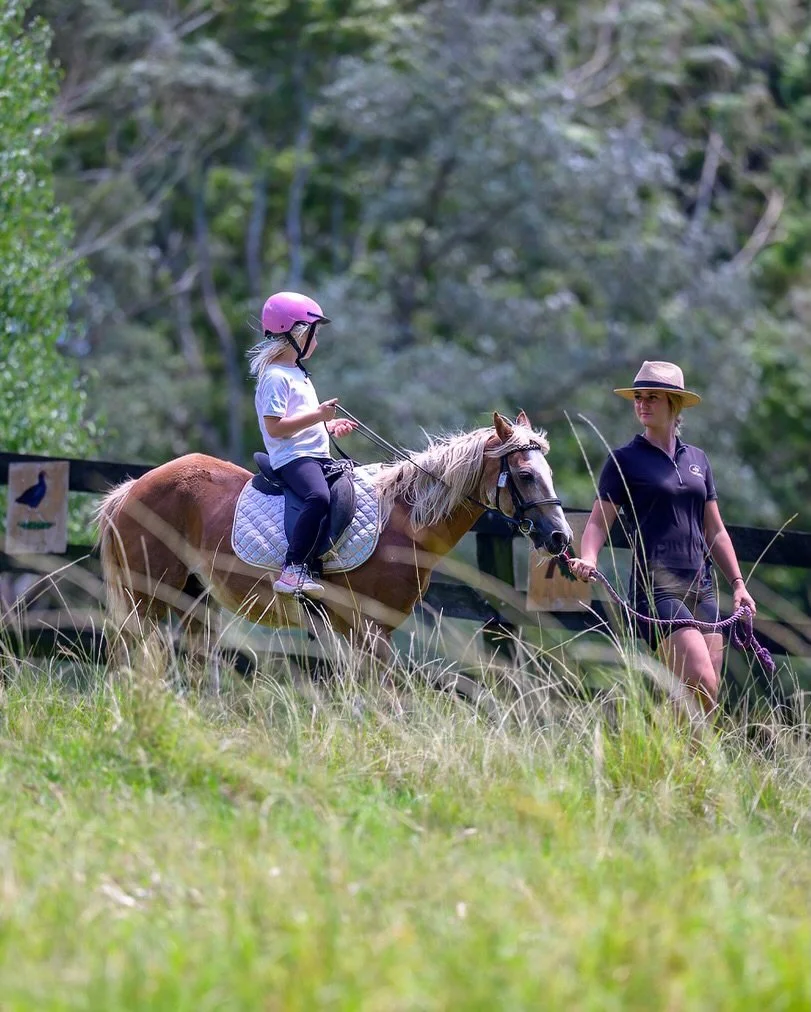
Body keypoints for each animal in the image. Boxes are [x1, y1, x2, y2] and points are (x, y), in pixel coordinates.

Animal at [95, 411, 572, 674]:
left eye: (549, 472)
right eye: (526, 474)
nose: (560, 537)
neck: (404, 523)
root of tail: (132, 489)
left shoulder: (358, 634)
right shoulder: (371, 631)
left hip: (193, 600)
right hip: (146, 595)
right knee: (128, 652)